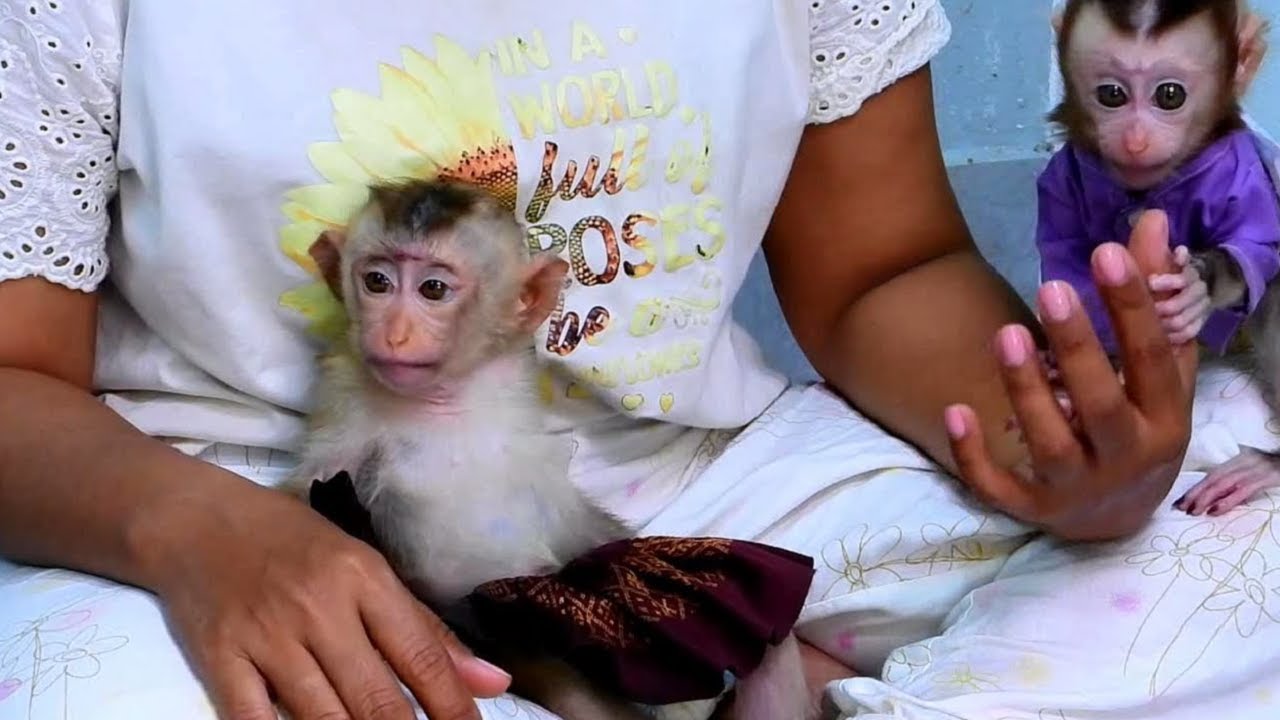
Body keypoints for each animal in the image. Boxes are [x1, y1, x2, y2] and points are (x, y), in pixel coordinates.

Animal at [281, 178, 821, 720]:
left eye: (432, 289)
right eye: (377, 282)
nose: (394, 334)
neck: (443, 401)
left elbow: (585, 535)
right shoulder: (347, 415)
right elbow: (305, 497)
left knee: (770, 648)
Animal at [1036, 0, 1280, 516]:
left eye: (1170, 96)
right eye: (1111, 95)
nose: (1134, 141)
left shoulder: (1238, 167)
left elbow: (1257, 251)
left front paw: (1196, 287)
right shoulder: (1063, 176)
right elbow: (1065, 261)